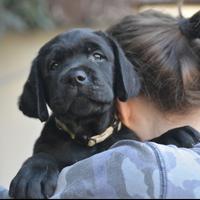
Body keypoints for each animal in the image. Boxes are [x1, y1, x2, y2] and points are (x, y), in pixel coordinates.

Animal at [9, 28, 200, 198]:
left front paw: (174, 134)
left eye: (97, 56)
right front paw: (34, 174)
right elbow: (43, 155)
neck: (89, 136)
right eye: (53, 65)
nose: (75, 77)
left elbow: (147, 140)